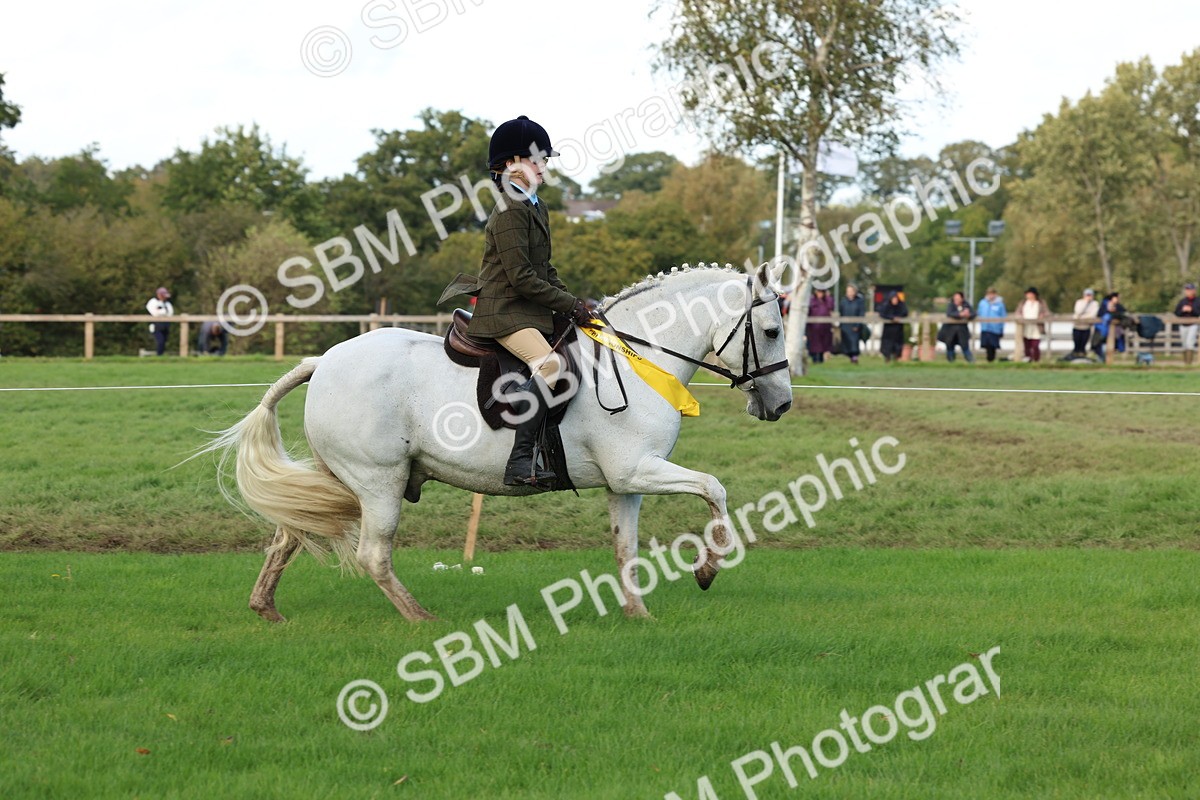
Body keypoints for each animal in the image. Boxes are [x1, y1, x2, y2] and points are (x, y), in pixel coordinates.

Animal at [200, 262, 794, 622]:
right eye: (770, 332)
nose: (781, 404)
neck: (635, 357)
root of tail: (324, 360)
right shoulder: (637, 470)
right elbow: (714, 488)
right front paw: (707, 570)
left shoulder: (624, 483)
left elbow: (626, 547)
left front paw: (637, 613)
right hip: (378, 481)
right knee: (372, 554)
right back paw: (420, 618)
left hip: (337, 477)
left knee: (289, 534)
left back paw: (266, 608)